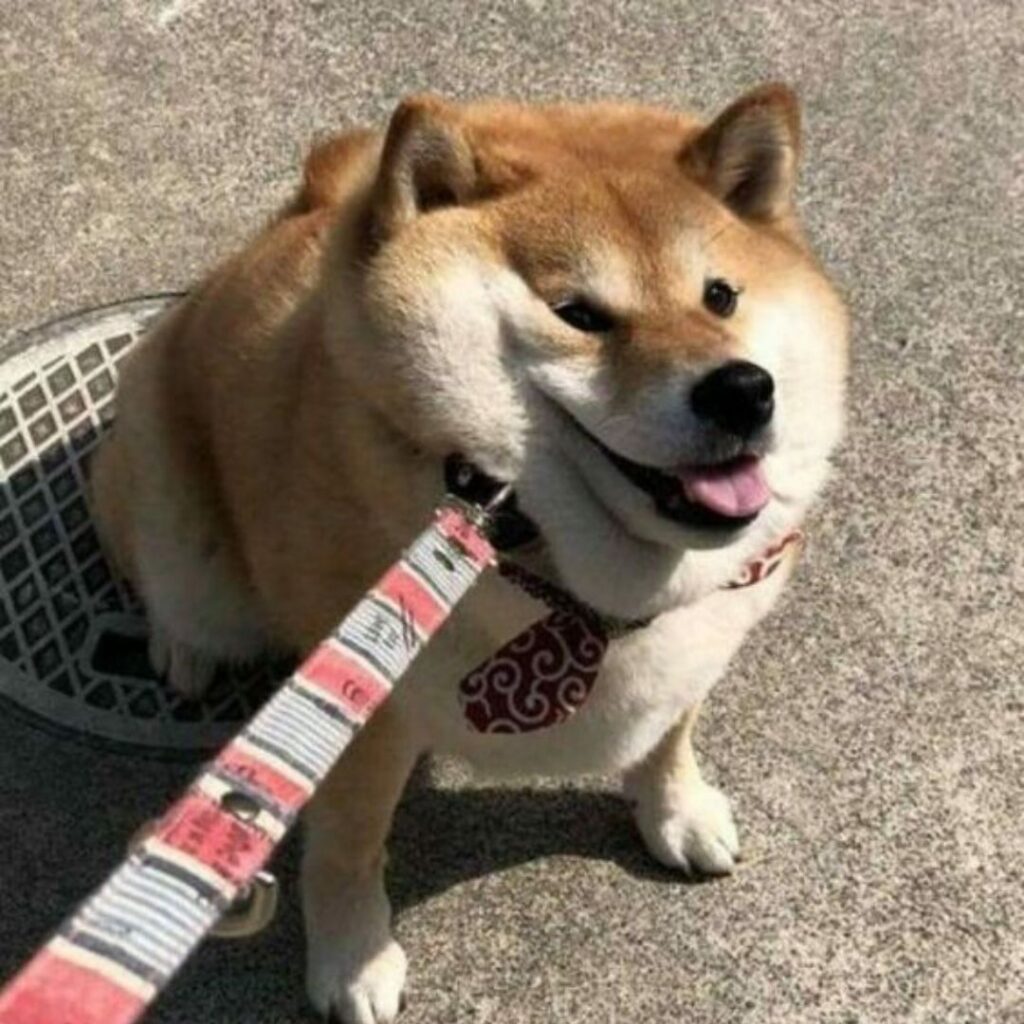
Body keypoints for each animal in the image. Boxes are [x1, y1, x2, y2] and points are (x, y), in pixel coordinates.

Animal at [92, 88, 847, 1024]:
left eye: (721, 296)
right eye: (578, 314)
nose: (743, 389)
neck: (557, 577)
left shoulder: (704, 645)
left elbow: (672, 732)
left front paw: (678, 810)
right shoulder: (365, 722)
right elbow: (348, 848)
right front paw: (350, 959)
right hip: (183, 526)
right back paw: (181, 648)